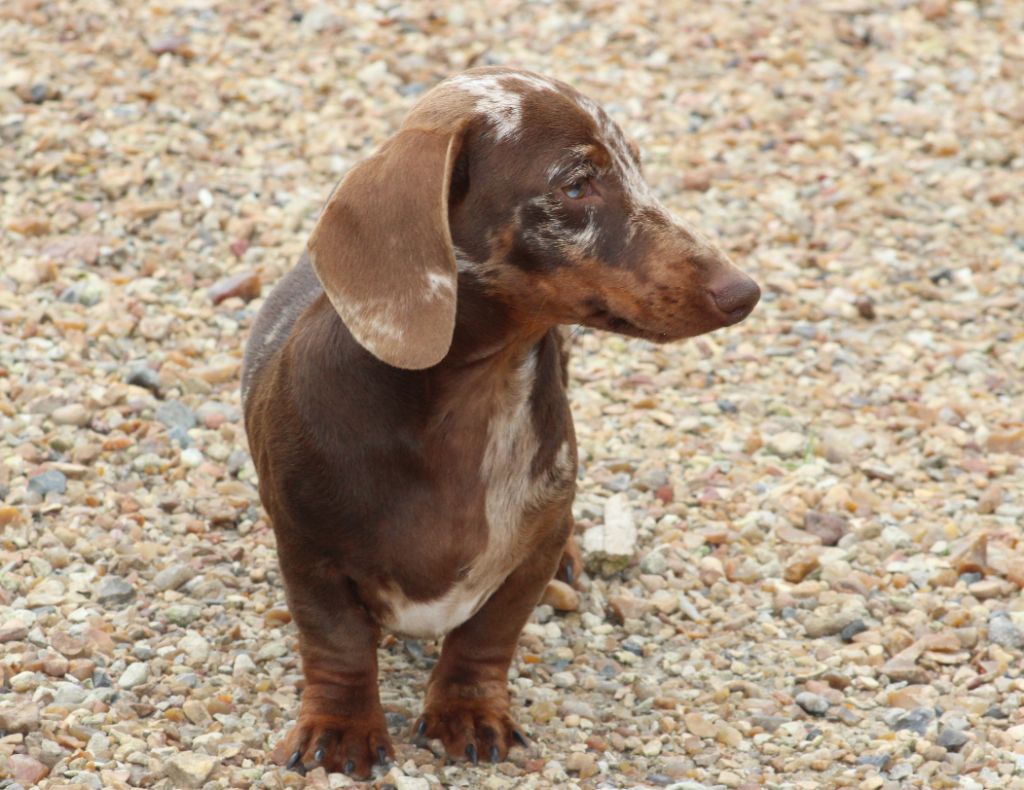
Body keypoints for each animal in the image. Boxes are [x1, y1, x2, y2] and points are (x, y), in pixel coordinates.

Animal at [237, 68, 753, 778]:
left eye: (638, 169)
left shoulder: (527, 557)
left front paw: (468, 713)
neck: (475, 400)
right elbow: (336, 643)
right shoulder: (307, 550)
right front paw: (341, 730)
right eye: (576, 183)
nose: (744, 292)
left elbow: (486, 636)